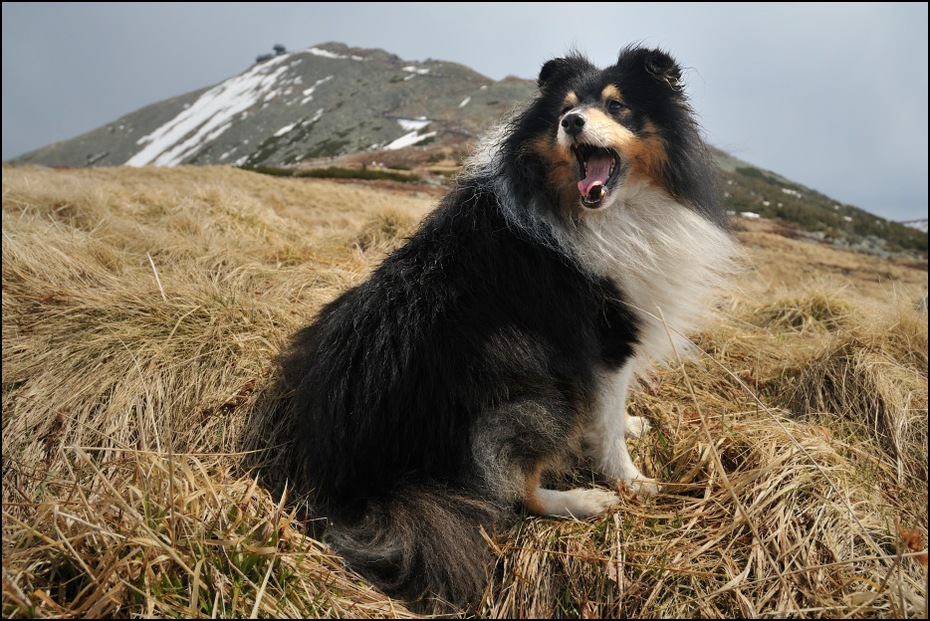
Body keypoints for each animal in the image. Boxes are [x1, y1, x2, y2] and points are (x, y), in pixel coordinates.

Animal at [280, 44, 740, 612]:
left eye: (617, 106)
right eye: (566, 107)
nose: (571, 122)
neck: (600, 212)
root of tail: (361, 484)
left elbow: (611, 414)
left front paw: (632, 424)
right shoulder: (607, 339)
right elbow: (606, 424)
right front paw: (634, 482)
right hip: (527, 379)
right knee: (511, 495)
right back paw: (585, 500)